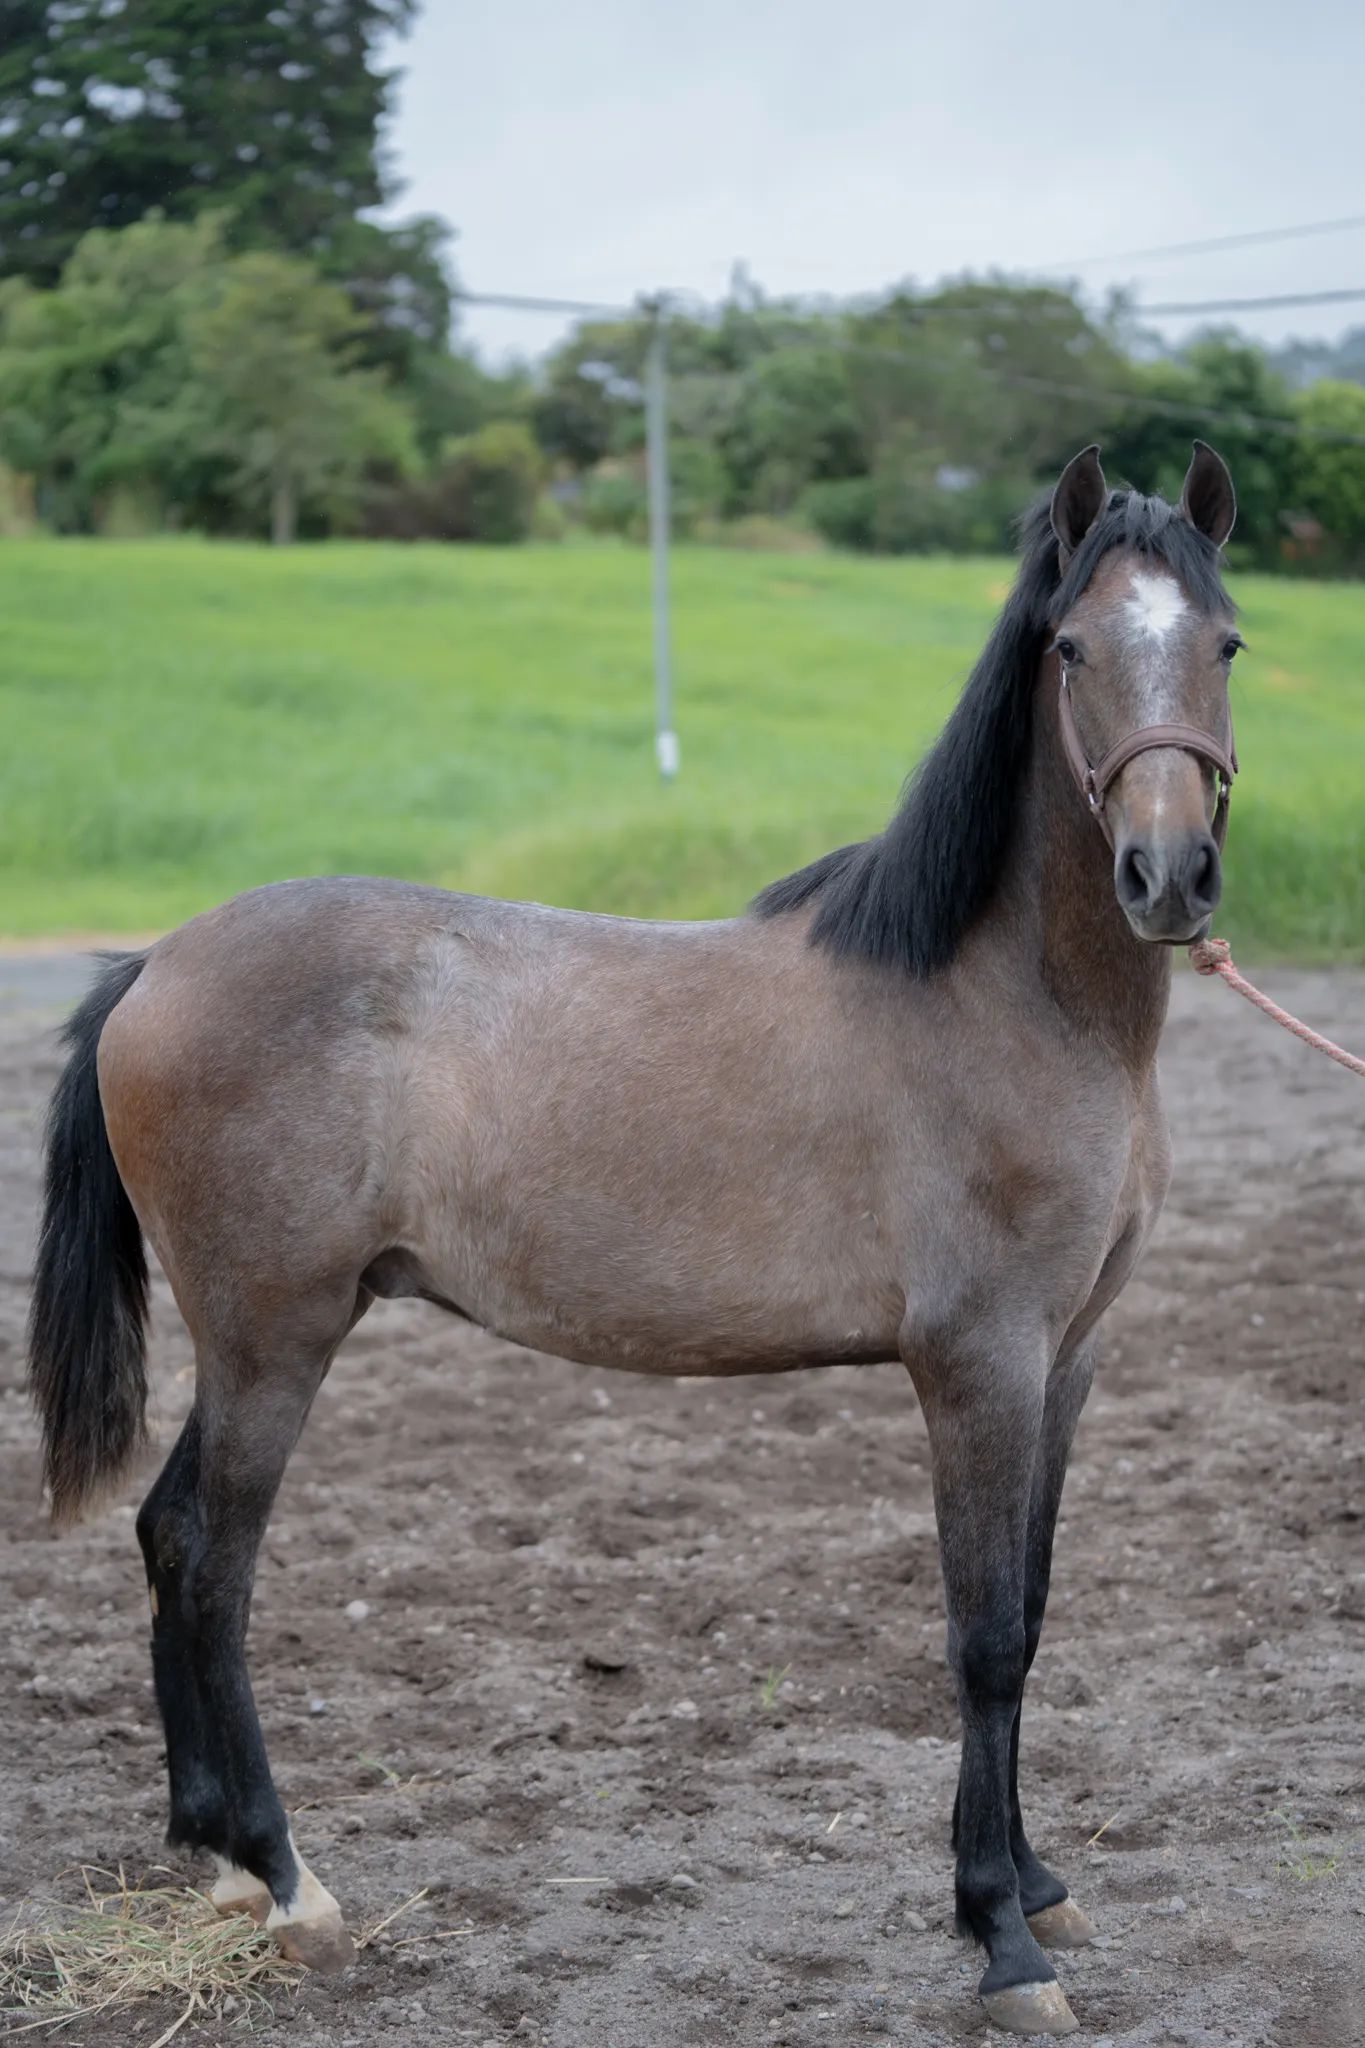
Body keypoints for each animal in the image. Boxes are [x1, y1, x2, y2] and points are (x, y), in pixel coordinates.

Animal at [28, 440, 1242, 2037]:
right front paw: (1000, 1935)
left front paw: (1037, 1887)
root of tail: (154, 964)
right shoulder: (978, 1366)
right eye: (1072, 650)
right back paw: (290, 1887)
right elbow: (982, 1639)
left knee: (169, 1543)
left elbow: (1031, 1616)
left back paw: (219, 1861)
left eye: (1225, 644)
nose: (1168, 876)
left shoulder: (1070, 1362)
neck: (1009, 1000)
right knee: (209, 1558)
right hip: (270, 1337)